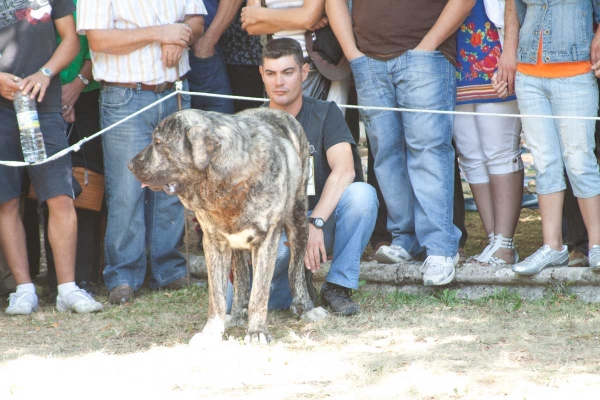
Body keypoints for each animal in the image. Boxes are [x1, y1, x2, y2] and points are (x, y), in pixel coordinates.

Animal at [128, 107, 326, 344]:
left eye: (158, 142)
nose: (130, 165)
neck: (227, 183)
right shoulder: (214, 243)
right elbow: (217, 296)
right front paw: (211, 331)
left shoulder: (267, 240)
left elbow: (259, 293)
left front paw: (257, 331)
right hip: (237, 247)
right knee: (241, 279)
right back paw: (238, 313)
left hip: (298, 221)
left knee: (295, 270)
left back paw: (305, 307)